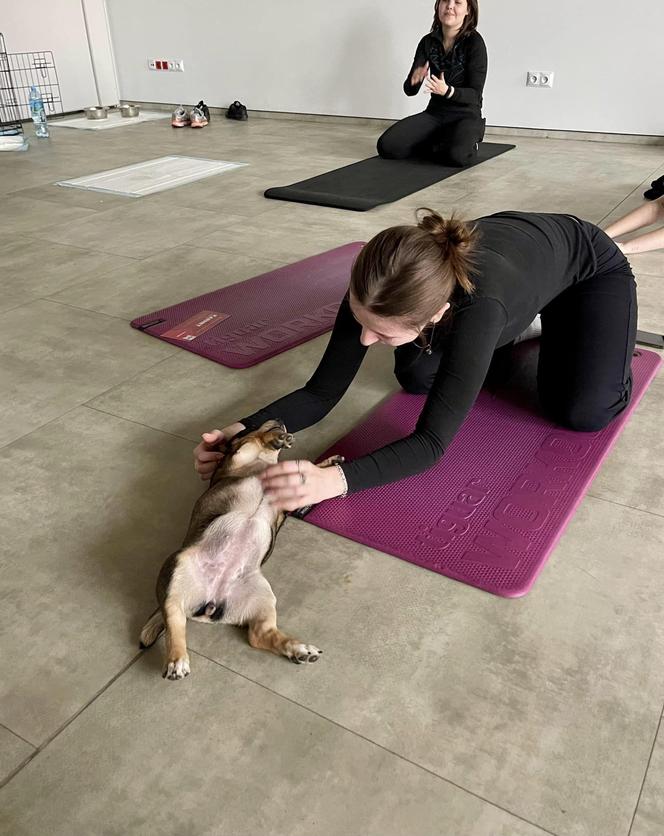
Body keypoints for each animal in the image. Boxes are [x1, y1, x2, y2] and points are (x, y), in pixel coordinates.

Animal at [139, 422, 324, 684]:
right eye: (250, 426)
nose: (279, 420)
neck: (266, 462)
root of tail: (211, 601)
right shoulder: (240, 455)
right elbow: (254, 441)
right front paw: (275, 437)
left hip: (262, 596)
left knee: (258, 635)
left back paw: (299, 649)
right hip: (176, 568)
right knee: (174, 618)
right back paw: (177, 660)